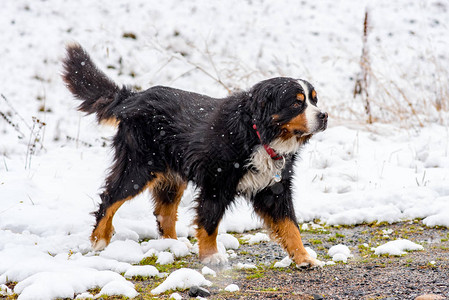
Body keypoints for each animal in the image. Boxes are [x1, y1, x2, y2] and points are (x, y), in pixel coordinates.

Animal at [62, 42, 326, 268]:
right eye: (296, 103)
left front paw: (304, 258)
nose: (323, 115)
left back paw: (173, 246)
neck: (257, 135)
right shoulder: (217, 183)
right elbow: (209, 223)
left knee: (164, 214)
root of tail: (134, 97)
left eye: (314, 100)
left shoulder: (275, 188)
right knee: (110, 198)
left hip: (171, 176)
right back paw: (99, 240)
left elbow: (290, 225)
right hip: (138, 167)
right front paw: (211, 256)